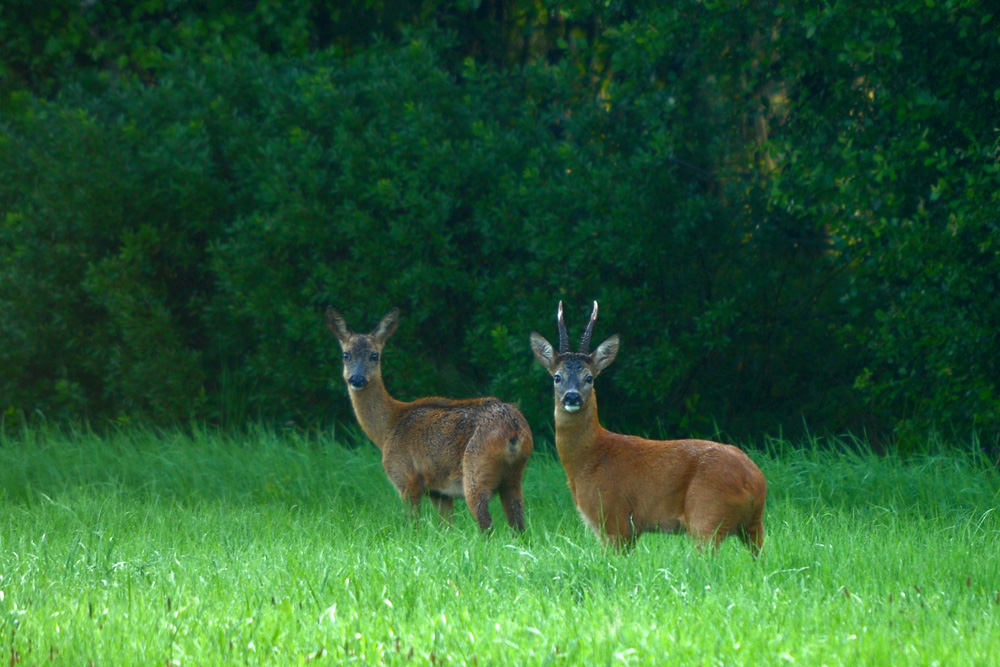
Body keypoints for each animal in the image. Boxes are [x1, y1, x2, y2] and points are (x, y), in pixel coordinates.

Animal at [326, 306, 532, 532]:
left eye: (374, 355)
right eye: (346, 354)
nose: (356, 378)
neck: (389, 427)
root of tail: (513, 430)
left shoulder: (406, 478)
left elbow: (412, 525)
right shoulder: (439, 491)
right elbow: (447, 527)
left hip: (475, 469)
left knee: (487, 525)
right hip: (513, 478)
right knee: (519, 526)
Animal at [528, 302, 768, 552]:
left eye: (589, 378)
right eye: (557, 377)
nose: (572, 397)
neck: (589, 458)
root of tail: (755, 482)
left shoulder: (614, 517)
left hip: (707, 513)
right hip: (753, 526)